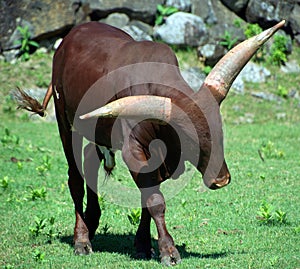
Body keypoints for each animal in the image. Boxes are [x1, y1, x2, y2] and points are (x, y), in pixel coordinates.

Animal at [15, 20, 286, 264]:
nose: (221, 179)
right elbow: (155, 200)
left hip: (97, 130)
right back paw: (82, 240)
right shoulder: (134, 150)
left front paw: (143, 246)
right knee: (75, 178)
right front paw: (169, 251)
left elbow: (147, 198)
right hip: (65, 123)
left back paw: (92, 222)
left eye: (220, 131)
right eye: (190, 140)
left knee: (90, 162)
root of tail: (69, 38)